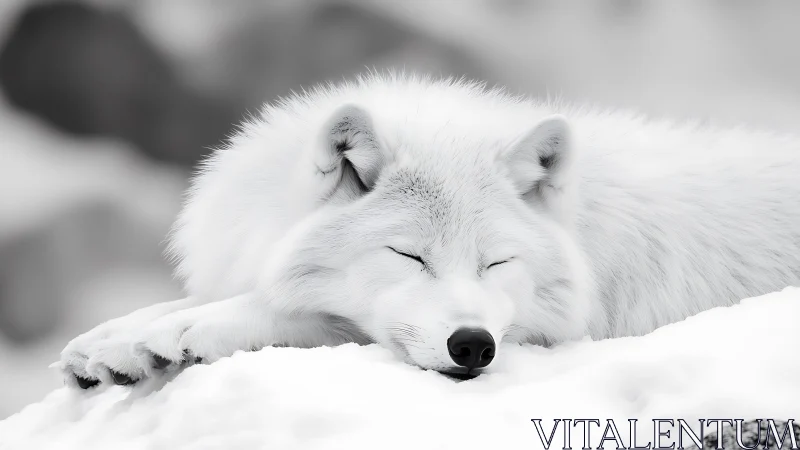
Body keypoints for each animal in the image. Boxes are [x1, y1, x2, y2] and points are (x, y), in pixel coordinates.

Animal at [57, 74, 800, 388]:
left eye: (496, 264)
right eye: (409, 255)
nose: (472, 345)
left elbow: (292, 311)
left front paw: (179, 332)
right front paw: (112, 338)